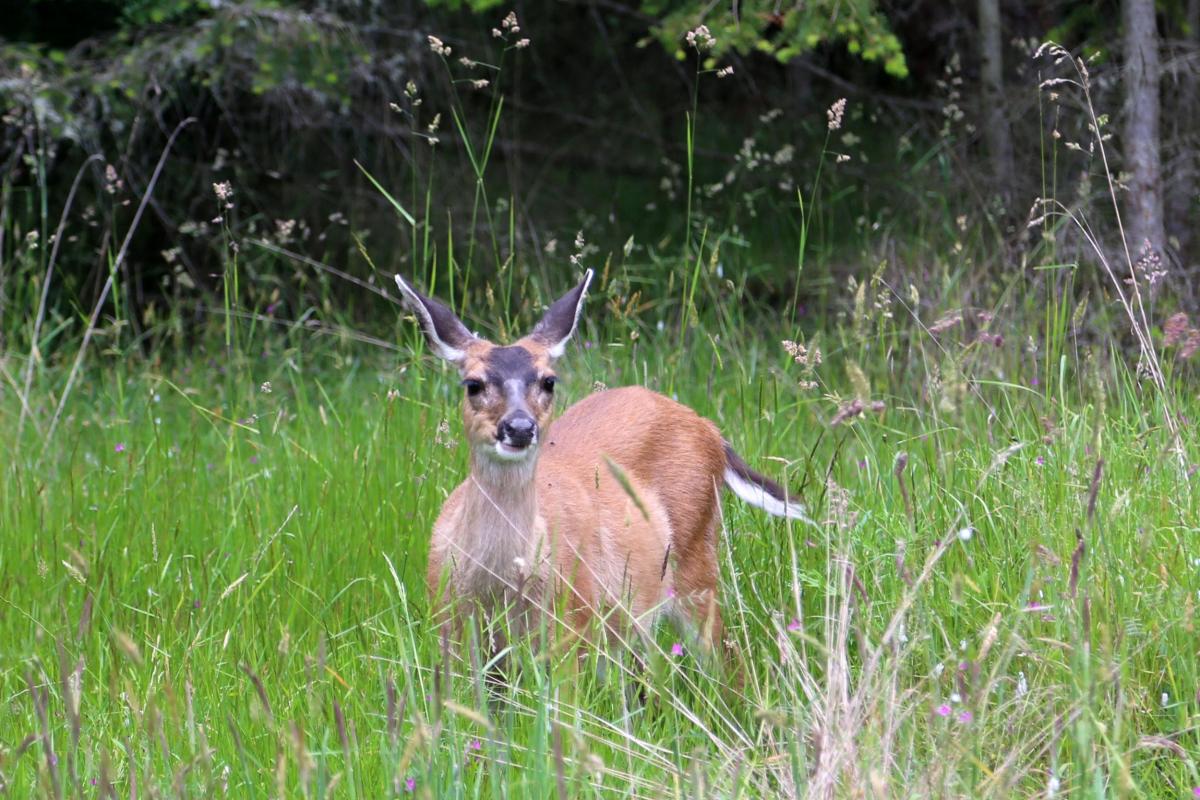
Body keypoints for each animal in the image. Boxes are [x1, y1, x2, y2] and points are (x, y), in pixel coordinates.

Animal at [393, 272, 806, 662]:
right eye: (473, 384)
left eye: (549, 381)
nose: (520, 427)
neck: (499, 585)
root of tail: (711, 429)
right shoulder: (450, 629)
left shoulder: (569, 628)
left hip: (696, 560)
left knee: (729, 657)